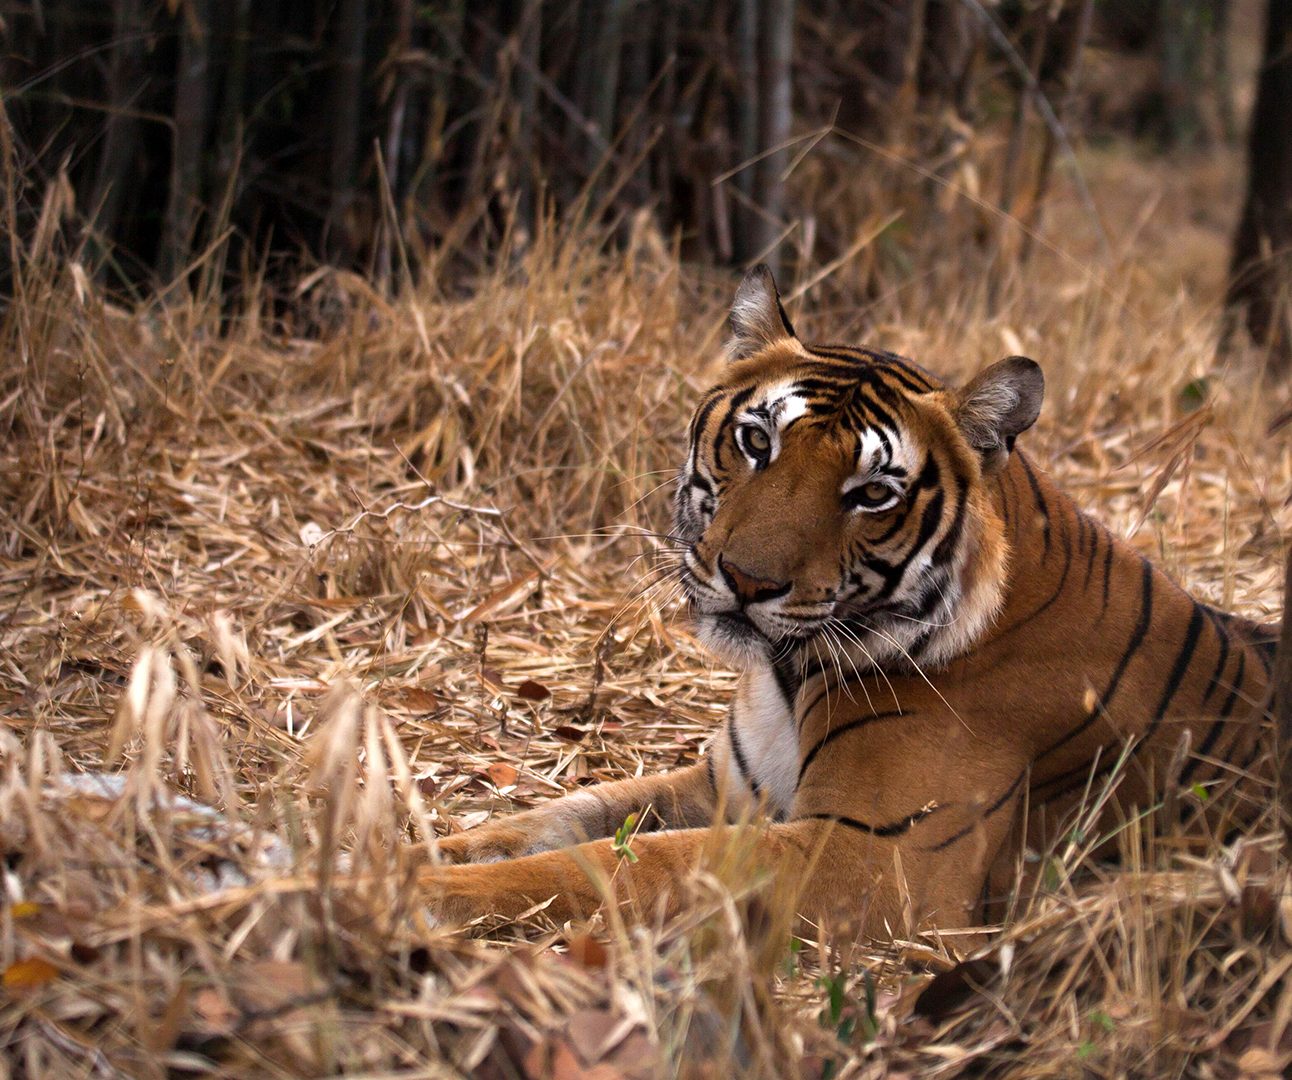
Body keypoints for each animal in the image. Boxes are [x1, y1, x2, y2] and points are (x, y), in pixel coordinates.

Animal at [418, 267, 1286, 935]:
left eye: (872, 494)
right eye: (756, 442)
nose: (748, 580)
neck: (783, 674)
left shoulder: (869, 855)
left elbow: (616, 866)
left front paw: (428, 892)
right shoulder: (722, 788)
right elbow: (566, 816)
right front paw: (422, 848)